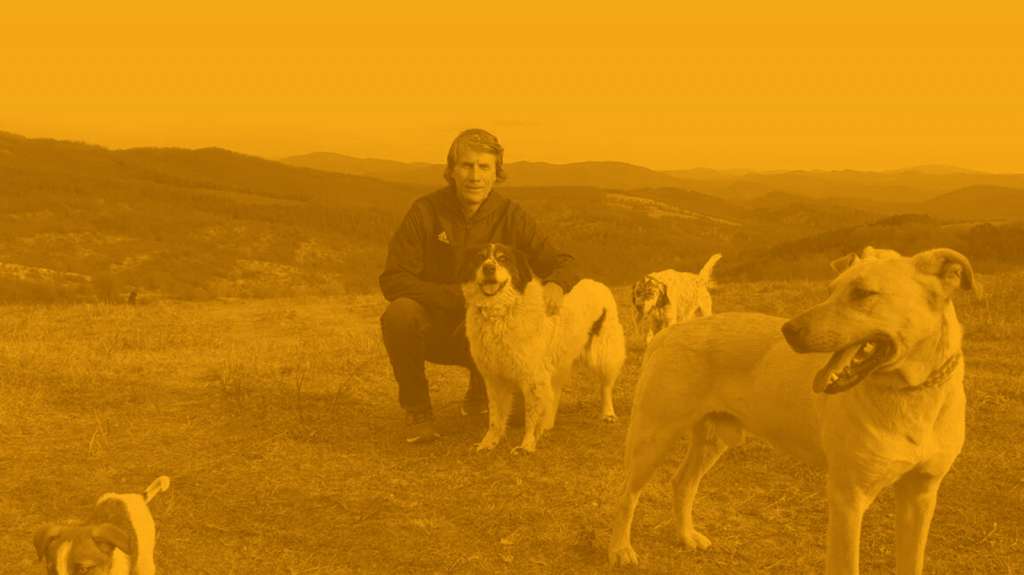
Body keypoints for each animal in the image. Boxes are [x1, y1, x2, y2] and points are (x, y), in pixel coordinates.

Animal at [461, 243, 626, 453]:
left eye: (503, 258)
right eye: (480, 257)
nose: (489, 268)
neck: (500, 312)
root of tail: (597, 283)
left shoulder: (533, 377)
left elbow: (531, 414)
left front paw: (526, 445)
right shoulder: (495, 377)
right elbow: (495, 418)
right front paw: (488, 442)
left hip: (603, 354)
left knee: (605, 386)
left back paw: (608, 413)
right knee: (555, 391)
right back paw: (548, 424)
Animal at [609, 247, 974, 574]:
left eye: (862, 293)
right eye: (830, 290)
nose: (789, 331)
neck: (913, 396)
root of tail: (669, 333)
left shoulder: (920, 495)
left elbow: (912, 561)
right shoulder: (849, 498)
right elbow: (846, 564)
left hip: (713, 441)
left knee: (682, 483)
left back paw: (685, 535)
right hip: (652, 438)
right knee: (626, 495)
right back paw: (621, 549)